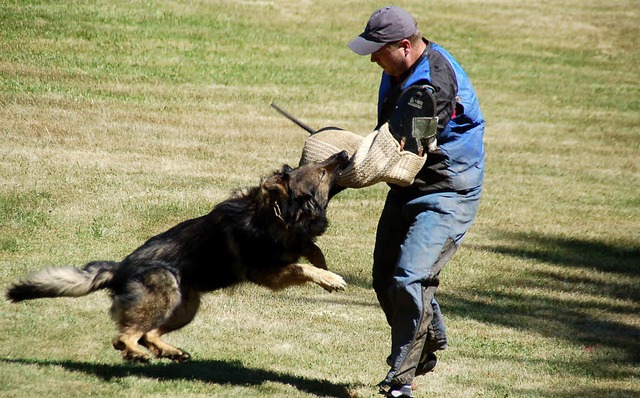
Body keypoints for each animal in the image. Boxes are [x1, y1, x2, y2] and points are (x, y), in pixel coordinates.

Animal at [5, 151, 348, 362]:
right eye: (321, 171)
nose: (343, 154)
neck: (275, 214)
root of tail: (120, 268)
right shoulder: (267, 272)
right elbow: (300, 266)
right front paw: (329, 278)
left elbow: (309, 248)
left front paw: (323, 263)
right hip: (165, 292)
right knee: (125, 337)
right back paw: (138, 354)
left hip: (186, 306)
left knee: (147, 333)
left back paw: (168, 351)